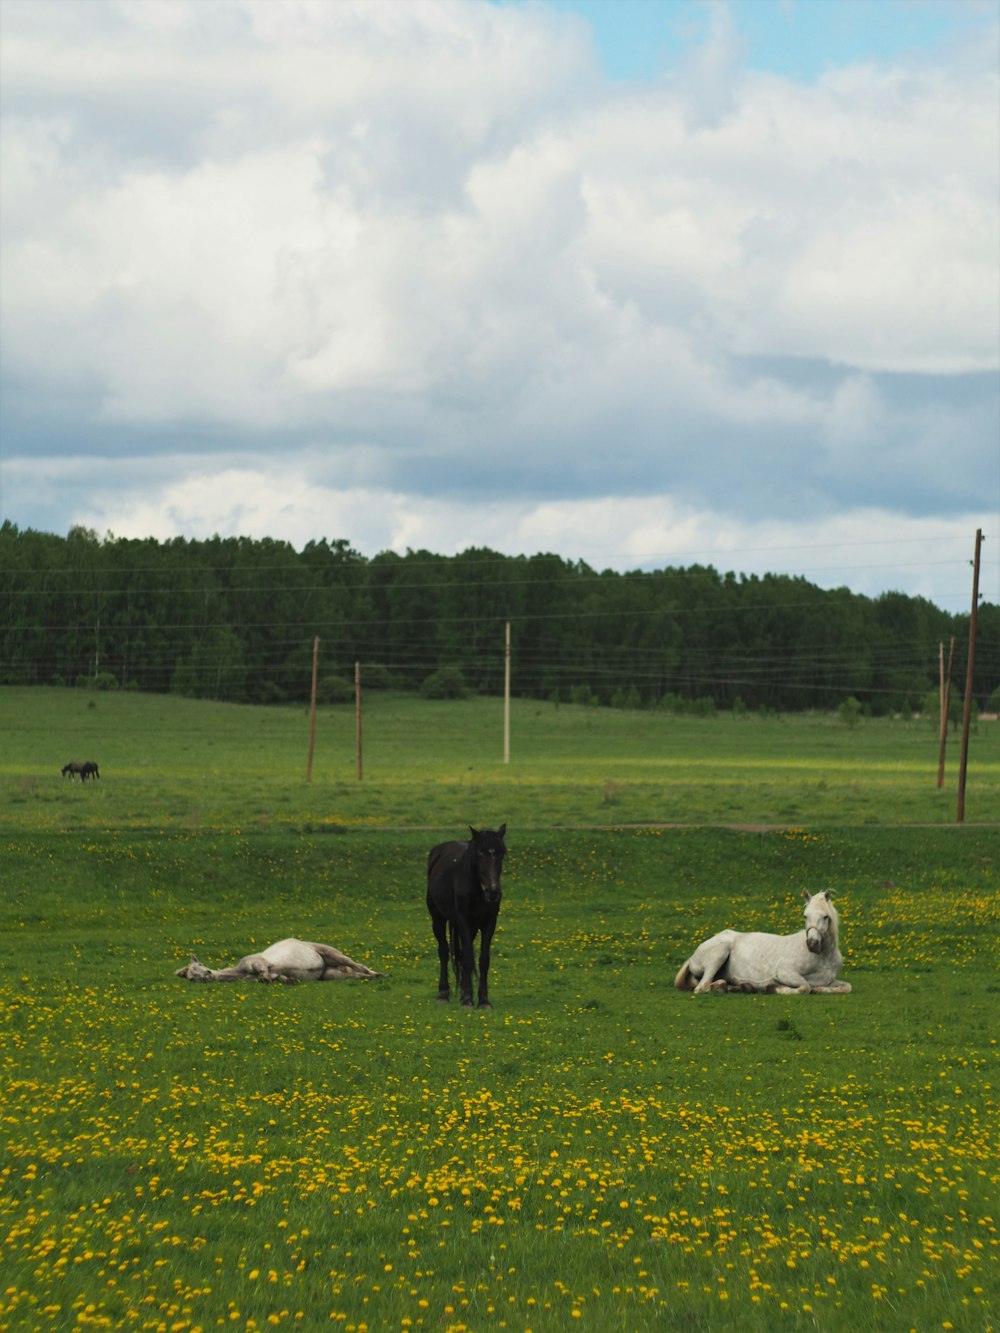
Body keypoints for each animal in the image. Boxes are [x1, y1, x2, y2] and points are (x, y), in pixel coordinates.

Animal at [429, 821, 509, 1007]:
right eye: (480, 854)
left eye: (502, 854)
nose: (493, 891)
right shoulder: (463, 921)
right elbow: (468, 959)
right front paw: (467, 1000)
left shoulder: (489, 923)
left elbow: (482, 960)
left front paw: (483, 1000)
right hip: (438, 919)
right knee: (444, 951)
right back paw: (443, 993)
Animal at [674, 890, 853, 997]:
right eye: (805, 916)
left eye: (825, 917)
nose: (812, 944)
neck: (822, 958)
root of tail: (693, 956)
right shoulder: (785, 972)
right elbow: (805, 987)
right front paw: (774, 988)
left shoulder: (828, 980)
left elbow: (846, 987)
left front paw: (819, 989)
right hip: (720, 952)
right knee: (702, 987)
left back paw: (741, 987)